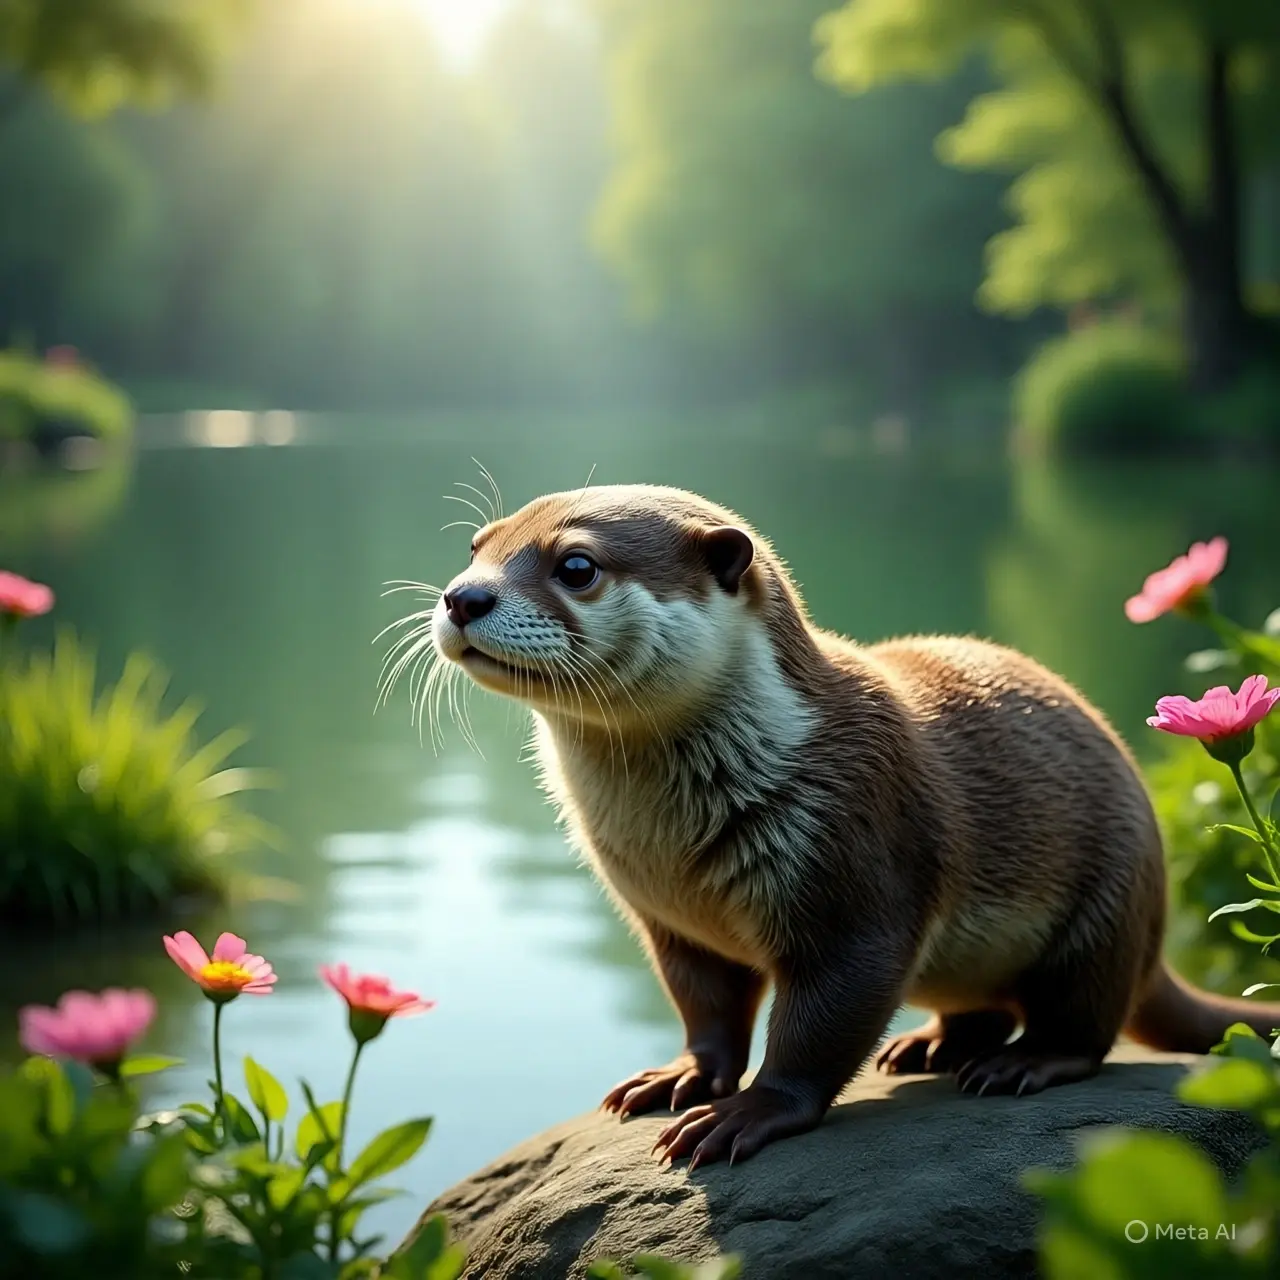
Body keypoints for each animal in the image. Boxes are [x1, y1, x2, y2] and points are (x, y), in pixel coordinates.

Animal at [425, 483, 1279, 1169]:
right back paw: (930, 1045)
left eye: (576, 566)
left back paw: (1022, 1064)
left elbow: (821, 1023)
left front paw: (748, 1112)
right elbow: (705, 1010)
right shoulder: (673, 926)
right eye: (475, 548)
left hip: (1106, 905)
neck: (670, 848)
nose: (462, 597)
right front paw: (681, 1077)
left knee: (1085, 1024)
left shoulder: (857, 867)